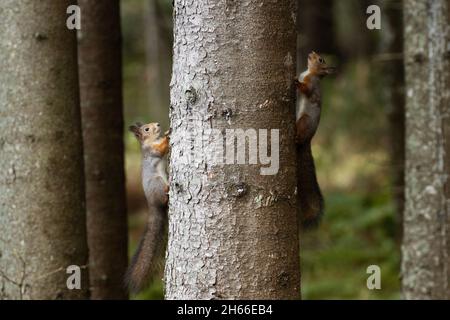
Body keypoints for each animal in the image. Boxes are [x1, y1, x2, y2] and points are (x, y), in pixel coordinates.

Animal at [125, 121, 171, 294]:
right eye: (146, 129)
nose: (157, 124)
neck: (151, 141)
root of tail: (152, 204)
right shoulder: (152, 151)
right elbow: (160, 149)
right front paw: (167, 135)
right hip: (157, 182)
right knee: (163, 198)